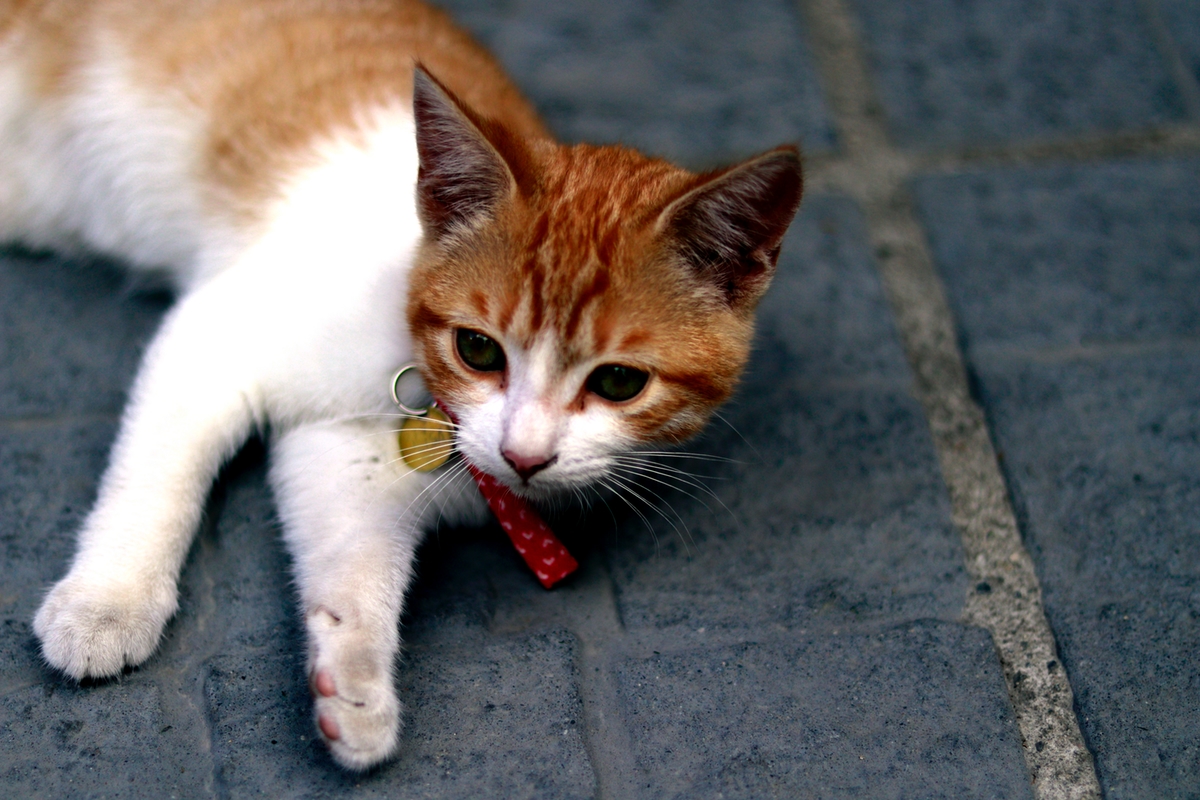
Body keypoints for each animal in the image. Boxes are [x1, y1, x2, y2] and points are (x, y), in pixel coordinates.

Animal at [3, 0, 802, 770]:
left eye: (618, 381)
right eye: (477, 348)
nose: (524, 457)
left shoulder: (345, 453)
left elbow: (354, 556)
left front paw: (353, 680)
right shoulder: (215, 334)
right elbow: (156, 481)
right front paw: (108, 602)